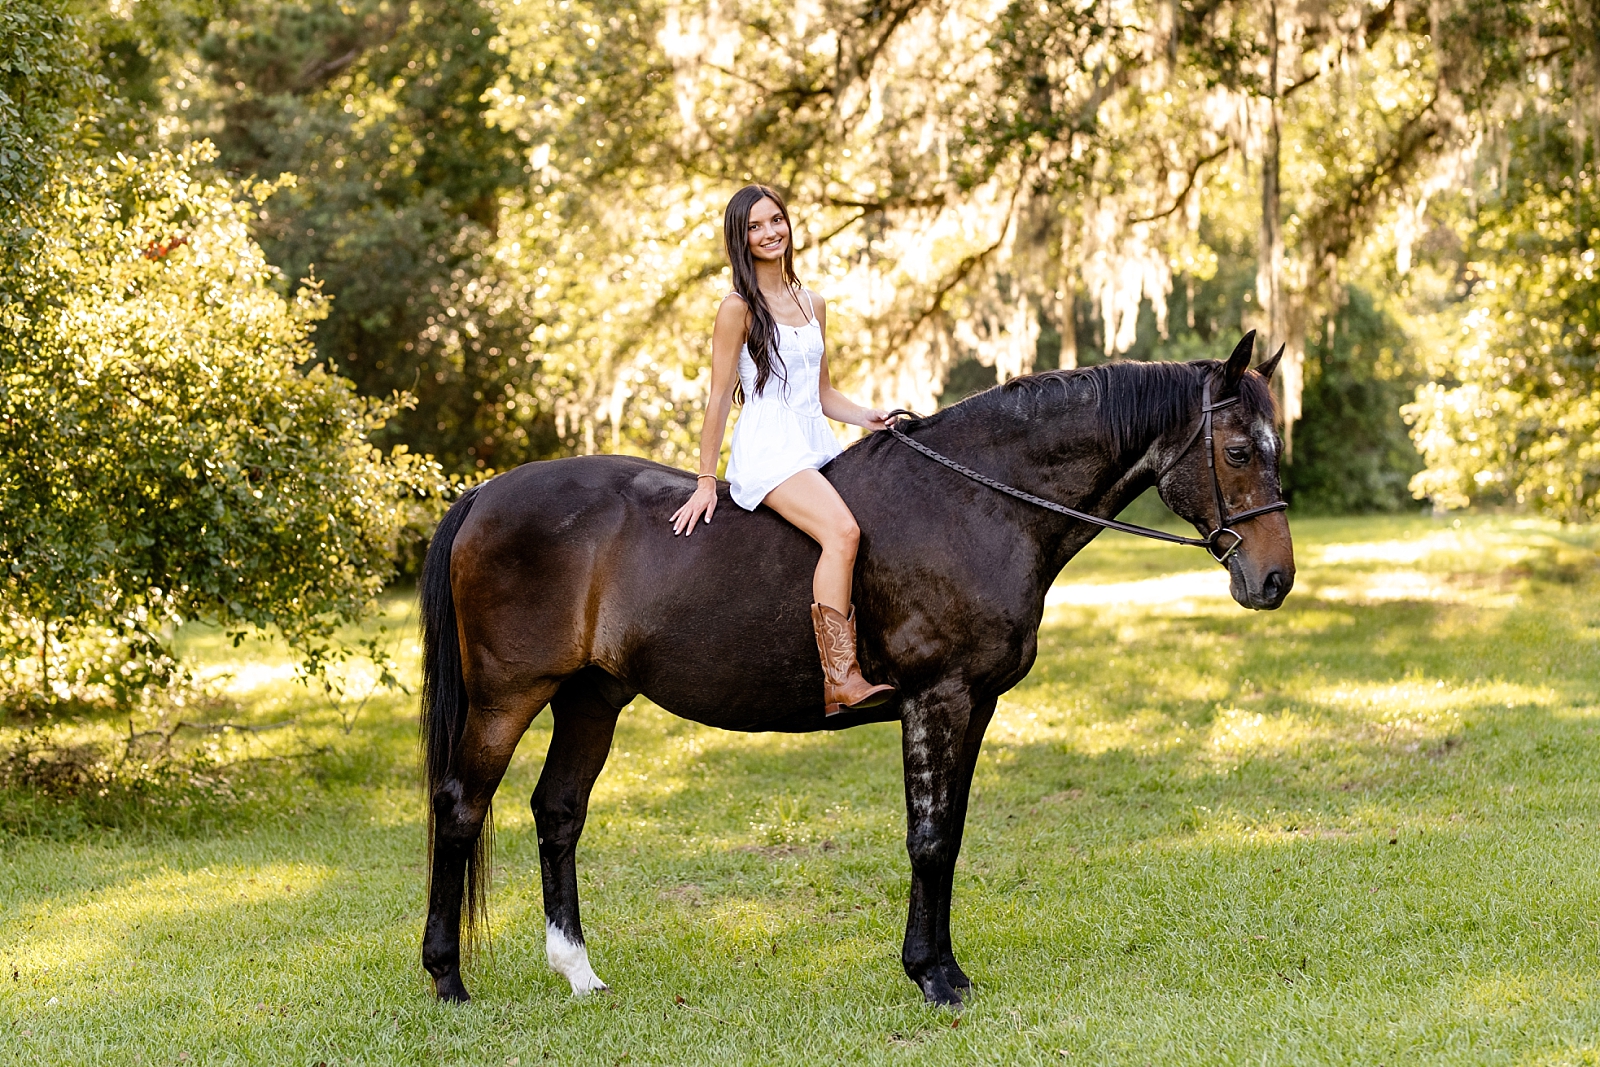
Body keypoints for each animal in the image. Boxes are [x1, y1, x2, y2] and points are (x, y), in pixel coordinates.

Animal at [419, 335, 1292, 1011]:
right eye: (1238, 450)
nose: (1275, 580)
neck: (976, 503)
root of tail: (487, 492)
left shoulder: (975, 706)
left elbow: (950, 835)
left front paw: (945, 968)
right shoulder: (938, 699)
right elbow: (929, 837)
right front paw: (932, 977)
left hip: (592, 696)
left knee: (558, 811)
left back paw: (578, 972)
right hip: (505, 698)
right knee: (462, 807)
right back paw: (448, 979)